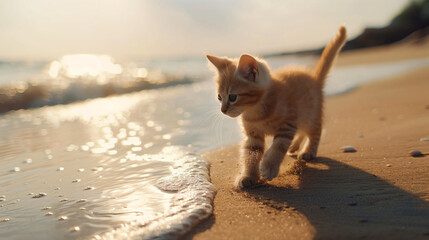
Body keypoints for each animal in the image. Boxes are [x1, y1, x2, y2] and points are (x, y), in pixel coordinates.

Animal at [206, 25, 346, 188]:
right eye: (219, 97)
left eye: (233, 97)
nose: (223, 110)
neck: (255, 110)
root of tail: (314, 79)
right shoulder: (253, 134)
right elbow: (251, 153)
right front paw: (248, 176)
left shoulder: (288, 125)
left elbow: (278, 147)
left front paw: (269, 167)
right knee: (302, 131)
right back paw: (295, 146)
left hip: (310, 114)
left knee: (315, 131)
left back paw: (308, 151)